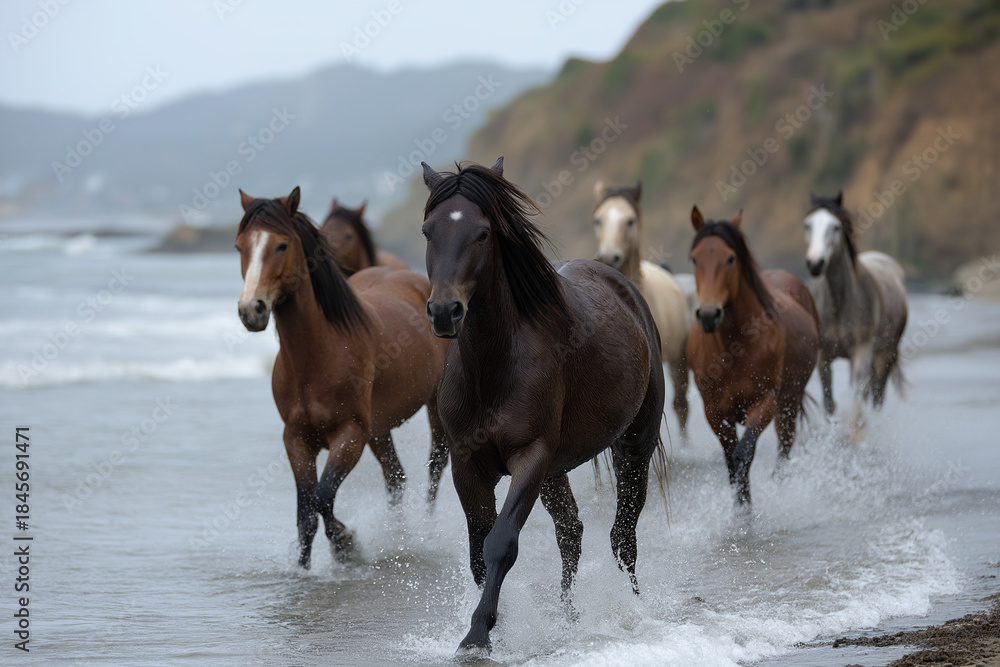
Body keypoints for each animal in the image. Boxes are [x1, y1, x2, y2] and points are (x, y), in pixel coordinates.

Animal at [235, 187, 450, 568]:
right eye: (240, 246)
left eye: (282, 245)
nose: (251, 309)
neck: (320, 353)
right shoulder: (297, 439)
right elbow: (306, 513)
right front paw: (304, 568)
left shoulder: (349, 436)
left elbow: (322, 498)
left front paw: (347, 545)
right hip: (379, 427)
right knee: (395, 478)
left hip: (432, 408)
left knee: (434, 468)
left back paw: (426, 531)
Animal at [420, 159, 666, 655]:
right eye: (427, 231)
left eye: (482, 233)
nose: (444, 311)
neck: (493, 368)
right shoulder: (467, 464)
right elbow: (479, 552)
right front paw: (493, 627)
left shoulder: (530, 458)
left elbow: (500, 544)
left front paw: (478, 634)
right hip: (556, 473)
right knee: (571, 534)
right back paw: (568, 618)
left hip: (633, 448)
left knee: (623, 538)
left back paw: (632, 611)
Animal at [687, 207, 819, 505]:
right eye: (694, 258)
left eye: (730, 258)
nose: (709, 315)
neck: (734, 347)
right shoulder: (714, 412)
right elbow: (731, 461)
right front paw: (741, 508)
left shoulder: (765, 401)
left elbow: (743, 454)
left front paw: (746, 509)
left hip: (788, 401)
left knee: (785, 445)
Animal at [803, 192, 907, 420]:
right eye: (807, 225)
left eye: (835, 227)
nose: (815, 263)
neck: (839, 303)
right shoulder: (823, 357)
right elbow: (829, 403)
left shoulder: (862, 352)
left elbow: (859, 403)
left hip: (884, 353)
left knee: (877, 395)